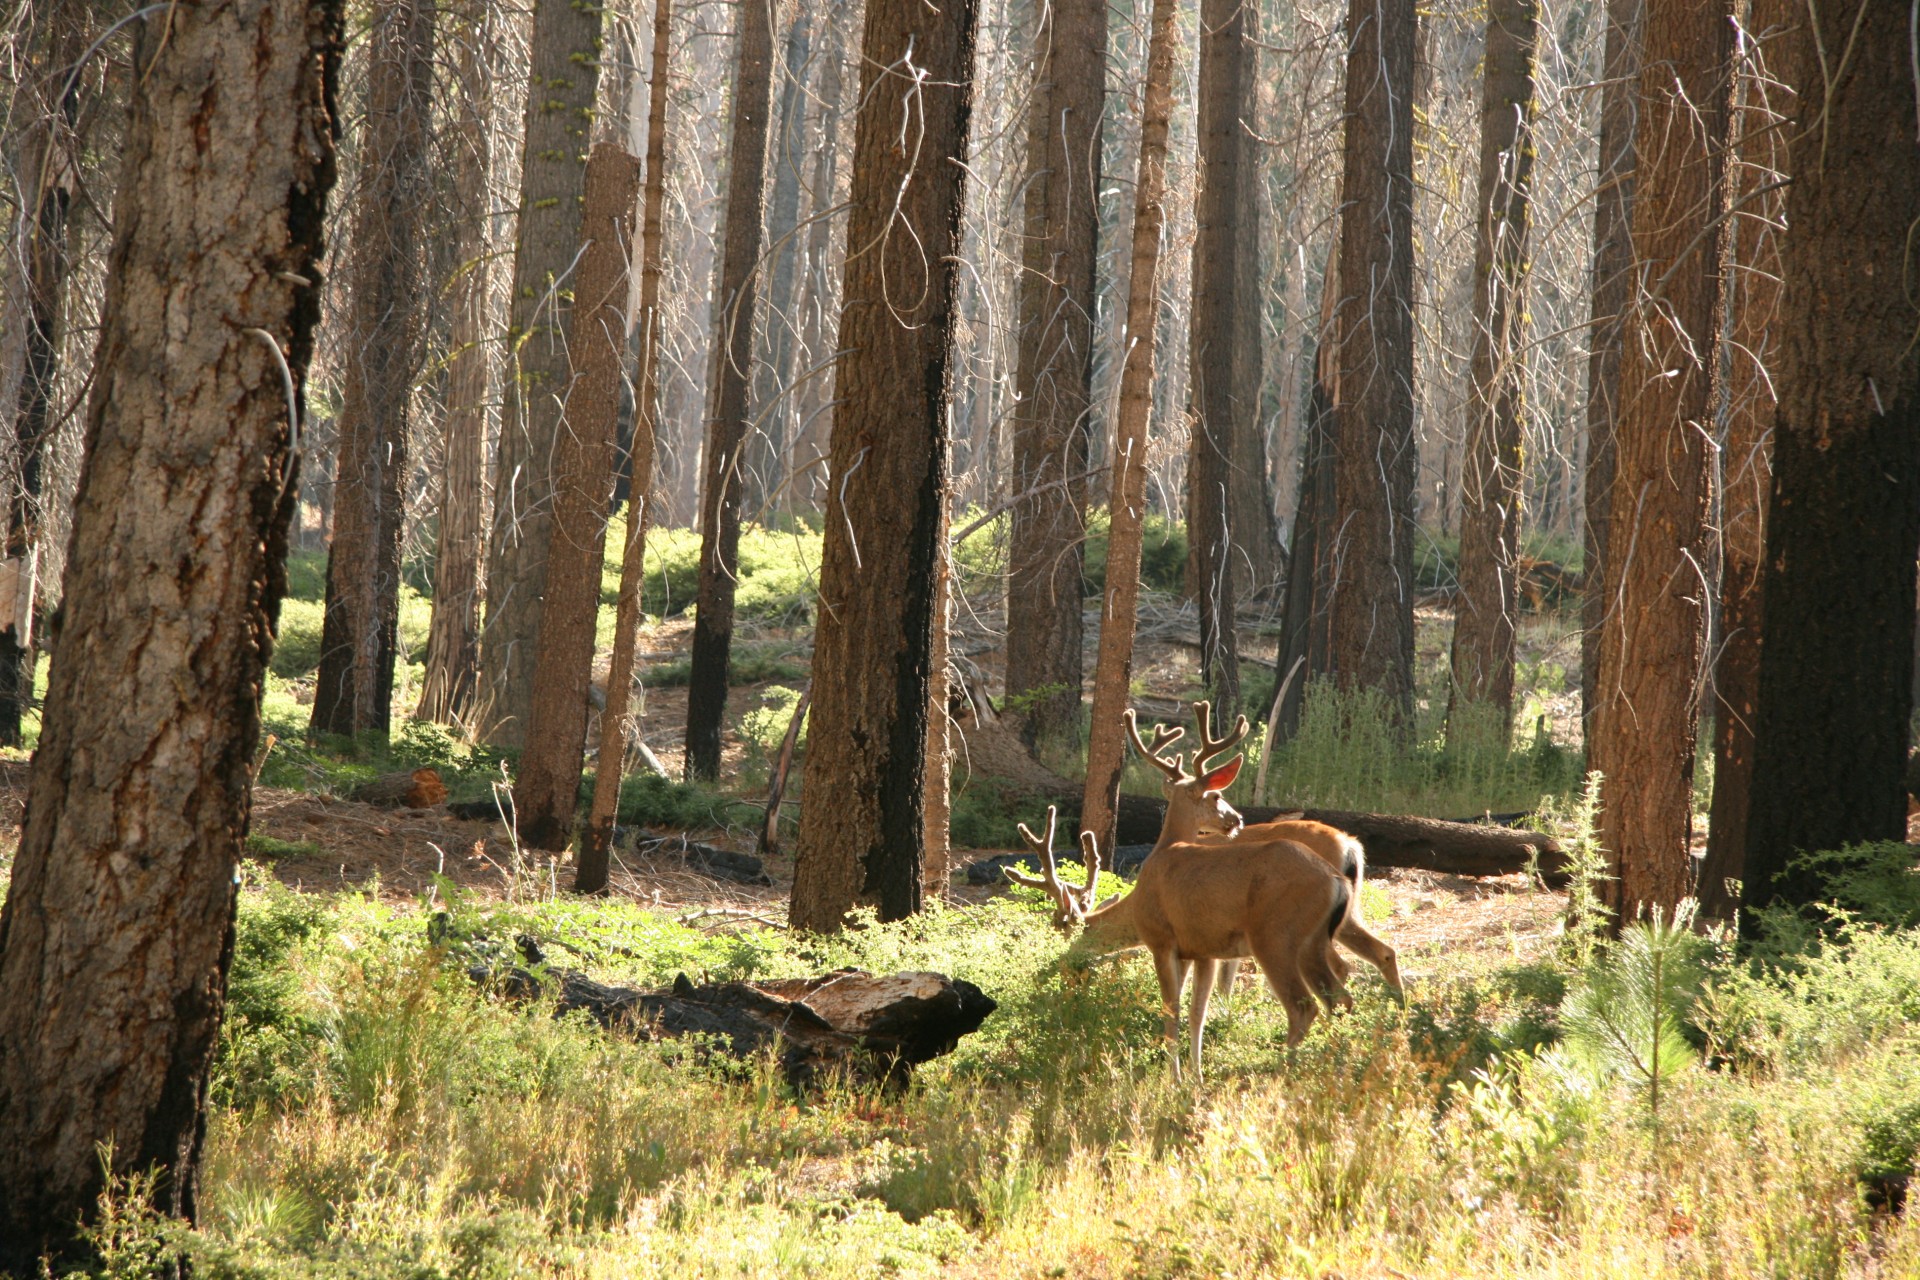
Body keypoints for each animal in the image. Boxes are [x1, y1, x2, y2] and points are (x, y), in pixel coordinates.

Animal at [1006, 805, 1351, 1074]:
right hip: (1313, 944)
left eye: (1075, 934)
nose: (1057, 971)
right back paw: (1333, 1060)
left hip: (1275, 938)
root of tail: (1337, 879)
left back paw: (1284, 1070)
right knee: (1339, 998)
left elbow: (1176, 1008)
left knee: (1303, 1006)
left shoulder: (1169, 944)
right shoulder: (1200, 951)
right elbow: (1195, 1009)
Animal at [1121, 706, 1413, 997]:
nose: (1237, 819)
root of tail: (1350, 844)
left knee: (1341, 964)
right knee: (1382, 951)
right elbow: (1225, 976)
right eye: (1216, 796)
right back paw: (1398, 1002)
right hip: (1348, 908)